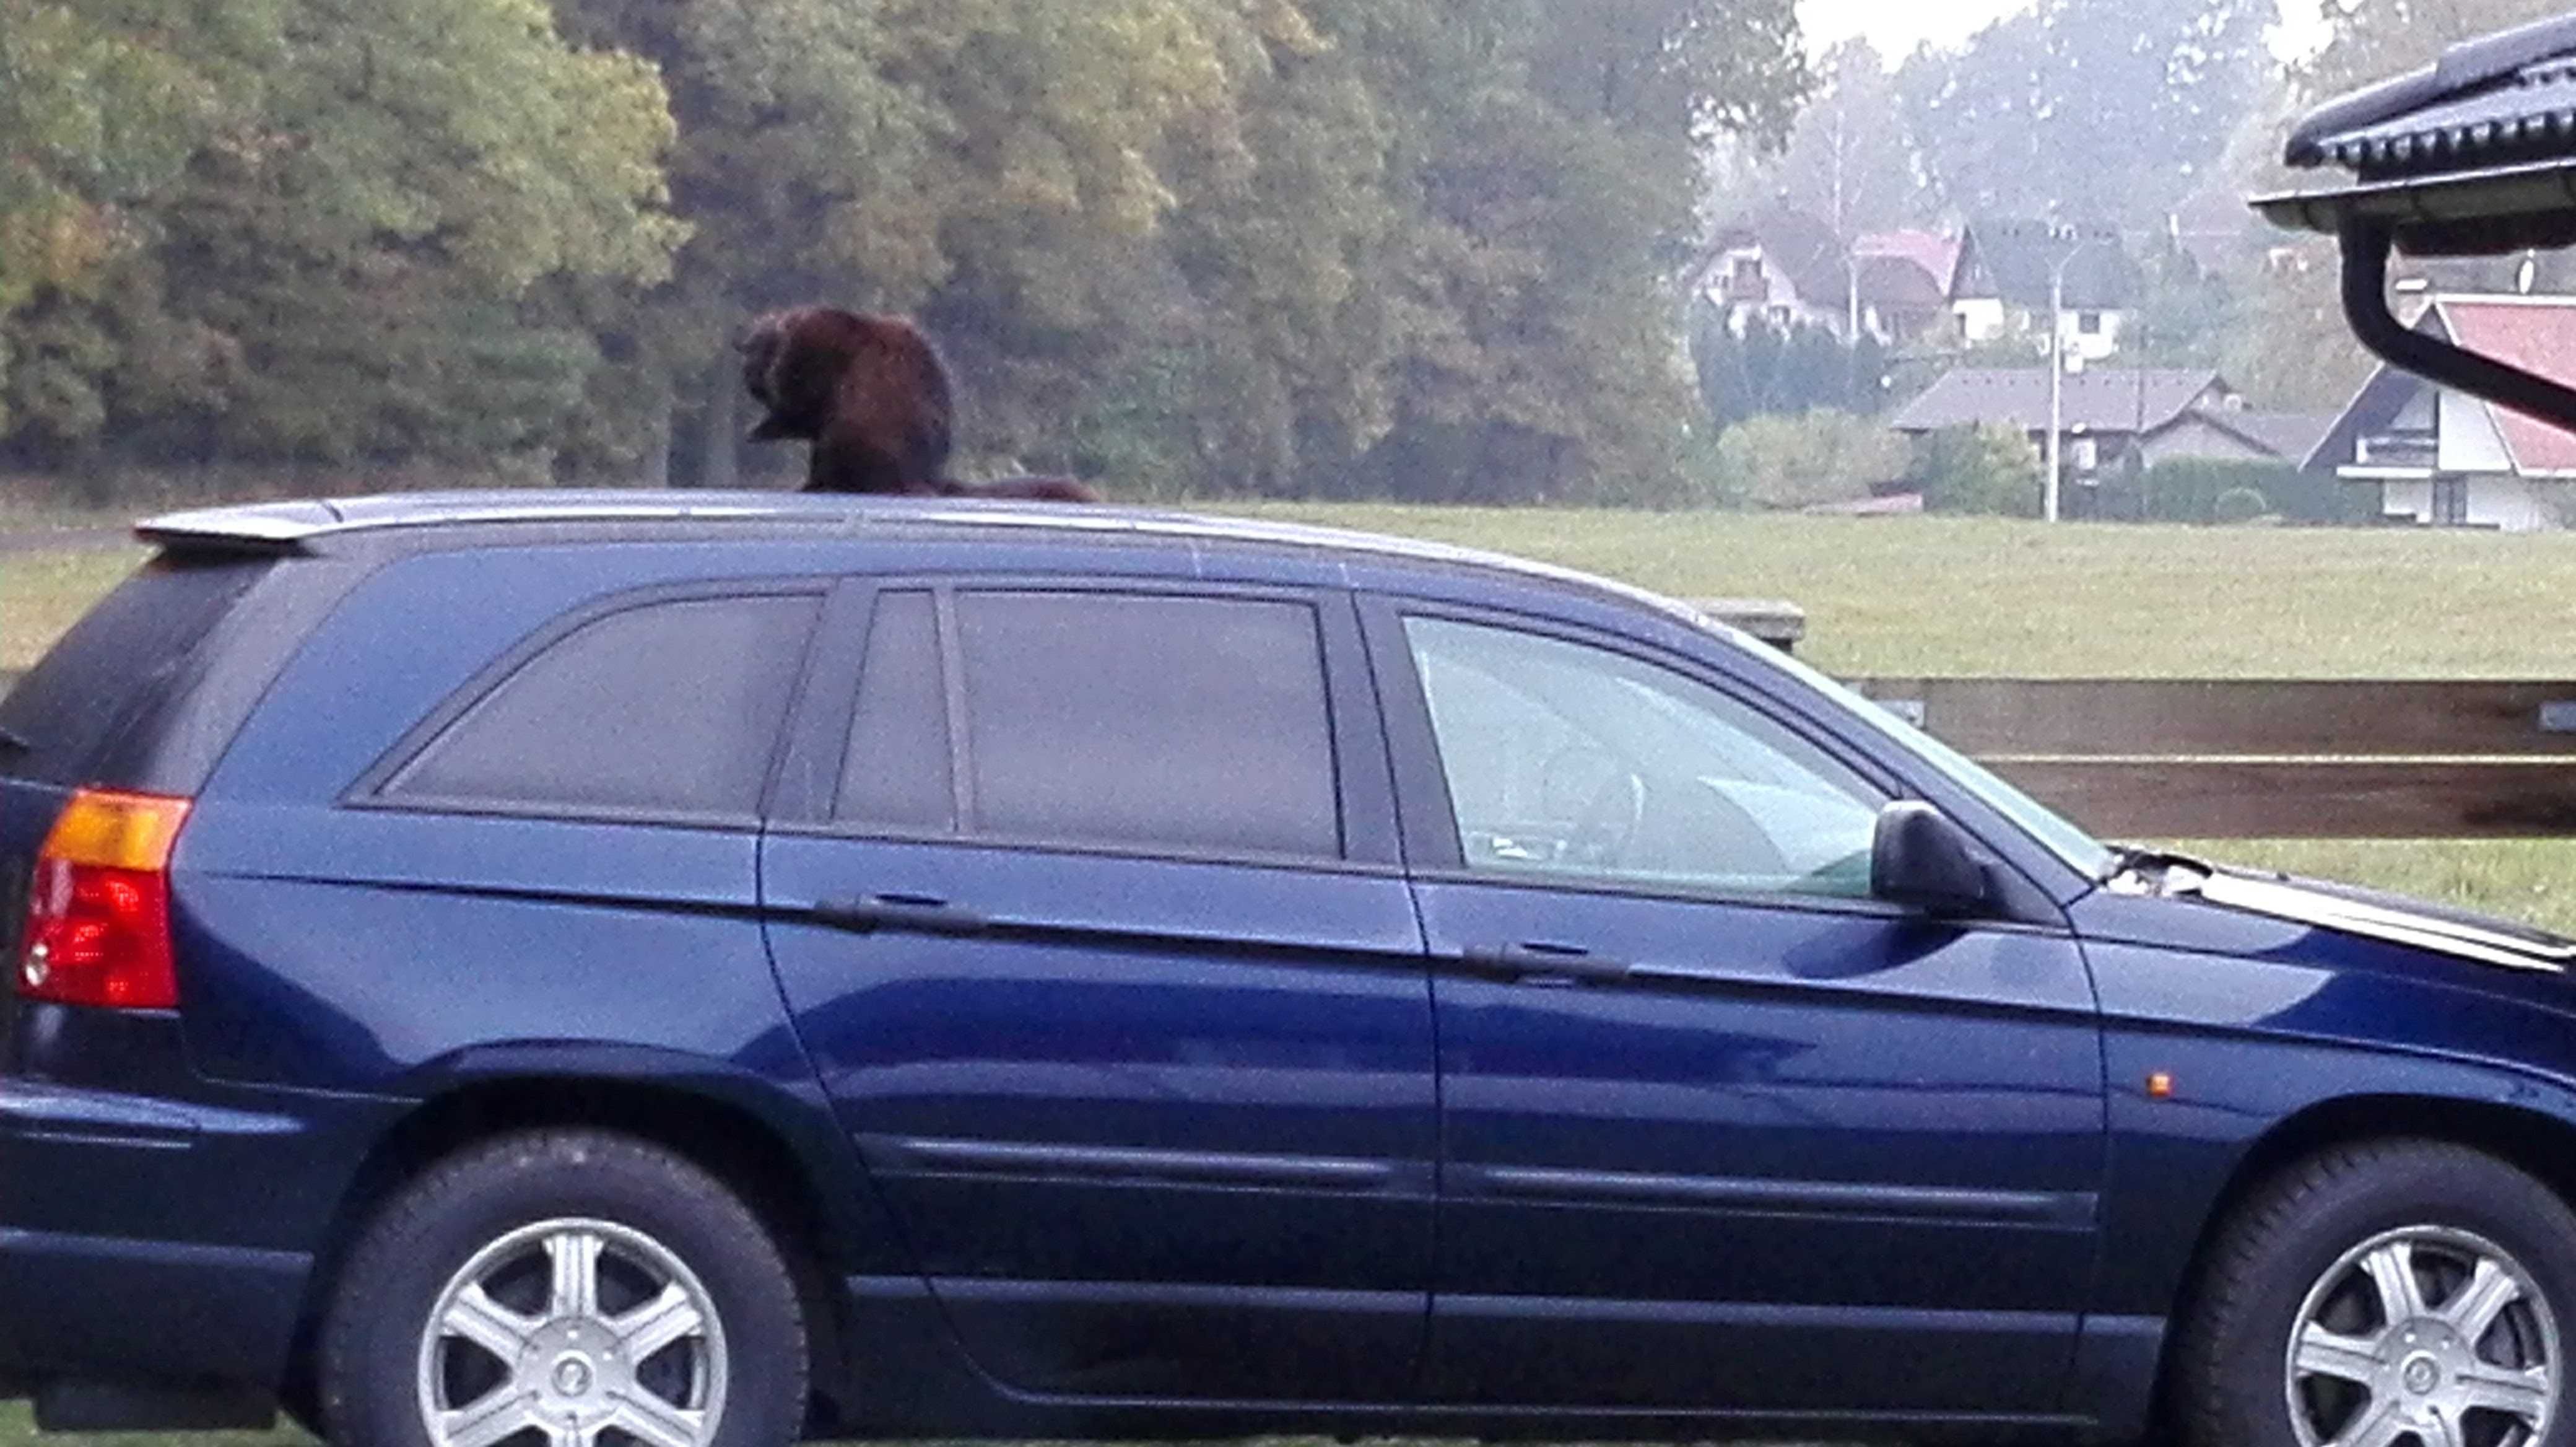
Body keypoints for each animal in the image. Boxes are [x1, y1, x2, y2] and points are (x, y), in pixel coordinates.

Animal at [747, 308, 1107, 502]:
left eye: (756, 357)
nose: (749, 378)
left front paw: (765, 426)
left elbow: (801, 406)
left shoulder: (813, 363)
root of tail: (931, 478)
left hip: (855, 432)